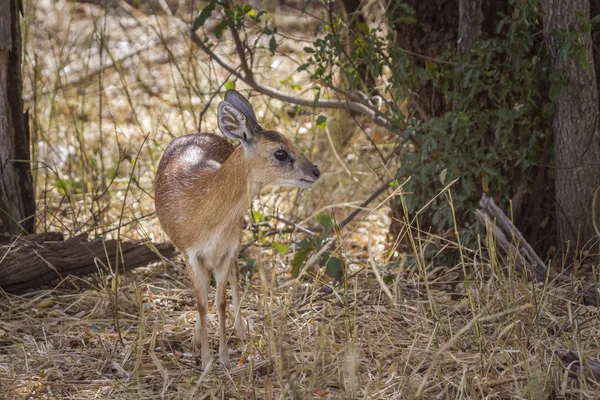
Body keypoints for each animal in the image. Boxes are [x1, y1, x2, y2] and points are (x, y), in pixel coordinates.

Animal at [157, 90, 322, 368]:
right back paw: (198, 339)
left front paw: (223, 357)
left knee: (234, 278)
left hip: (237, 239)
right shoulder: (190, 252)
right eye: (280, 153)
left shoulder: (227, 248)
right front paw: (206, 360)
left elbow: (221, 301)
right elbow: (202, 303)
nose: (316, 171)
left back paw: (241, 333)